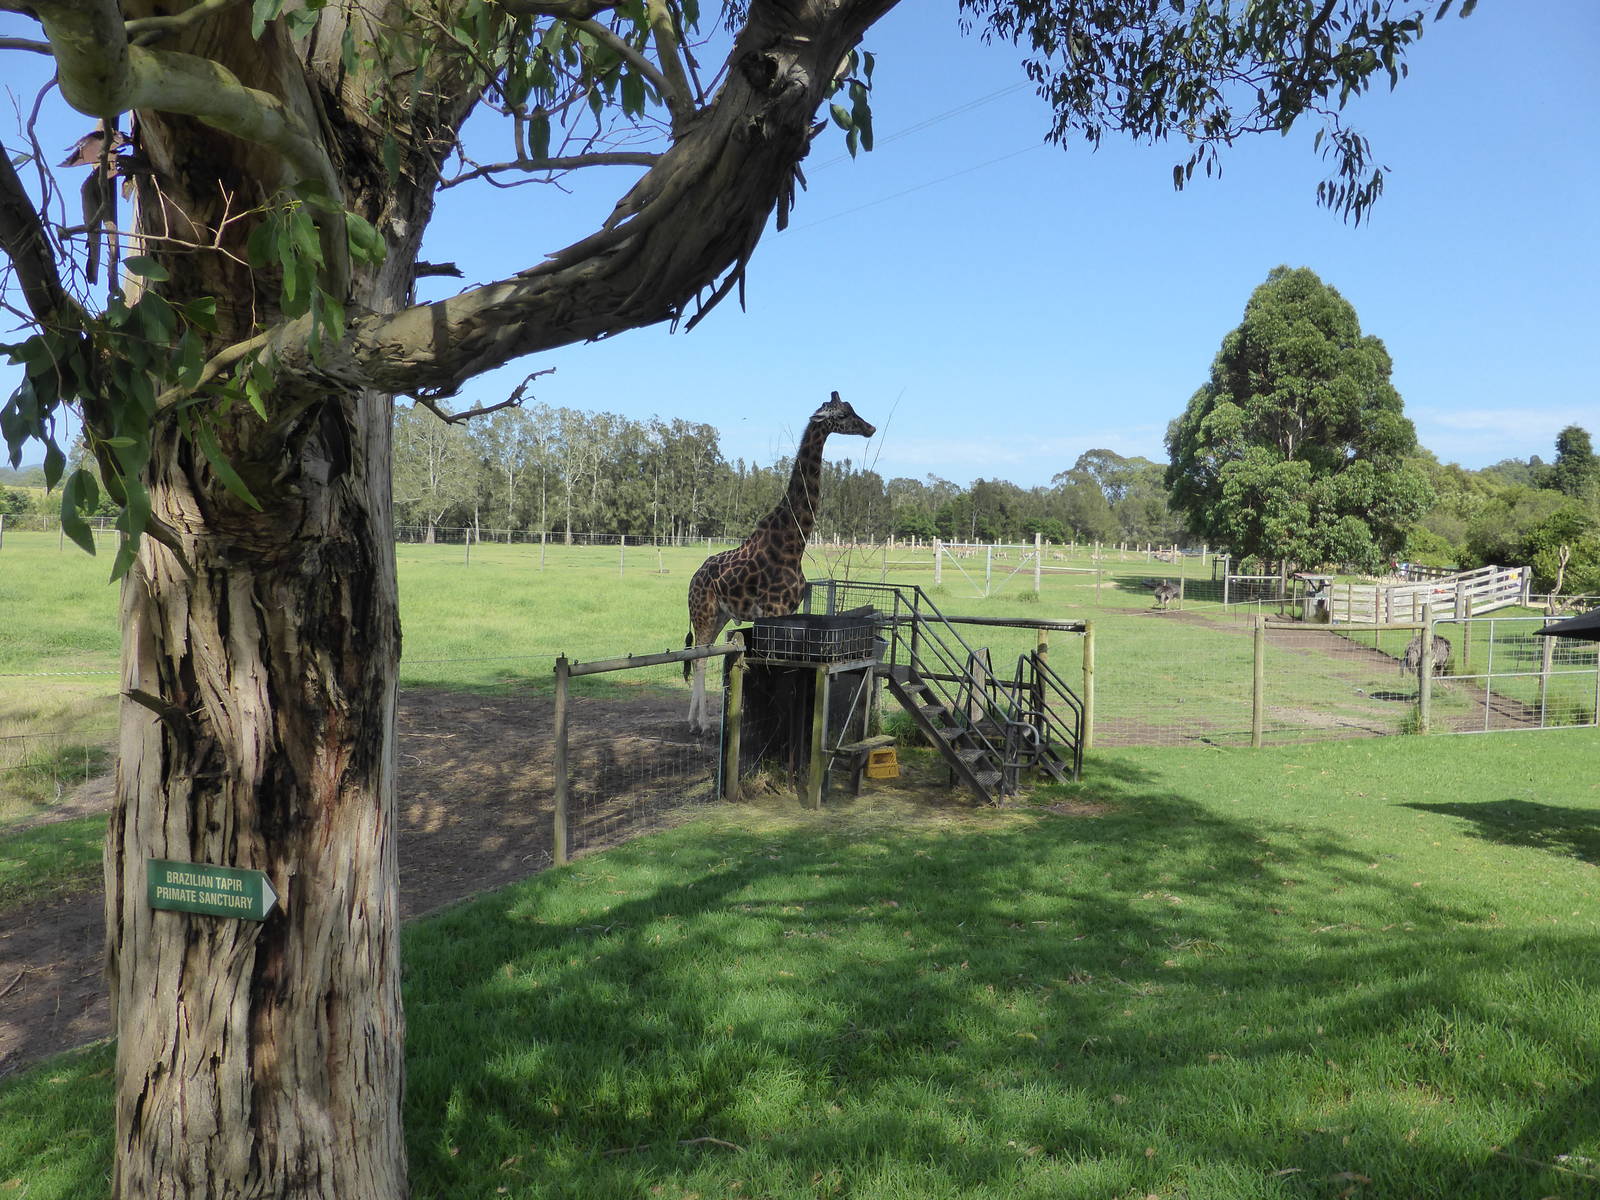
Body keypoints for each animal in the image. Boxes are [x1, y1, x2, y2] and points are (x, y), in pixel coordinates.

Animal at [684, 391, 876, 733]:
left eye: (852, 409)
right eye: (842, 415)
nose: (870, 428)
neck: (793, 542)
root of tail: (694, 577)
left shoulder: (788, 611)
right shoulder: (773, 611)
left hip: (720, 615)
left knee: (699, 655)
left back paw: (695, 721)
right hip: (702, 612)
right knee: (700, 658)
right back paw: (702, 724)